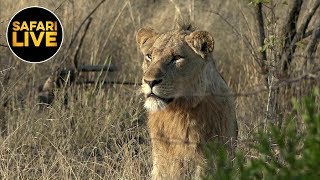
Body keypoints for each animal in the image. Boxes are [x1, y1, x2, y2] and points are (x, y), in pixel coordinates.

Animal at [135, 23, 238, 179]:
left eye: (177, 58)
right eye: (149, 56)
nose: (149, 81)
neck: (178, 112)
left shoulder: (207, 159)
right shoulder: (161, 158)